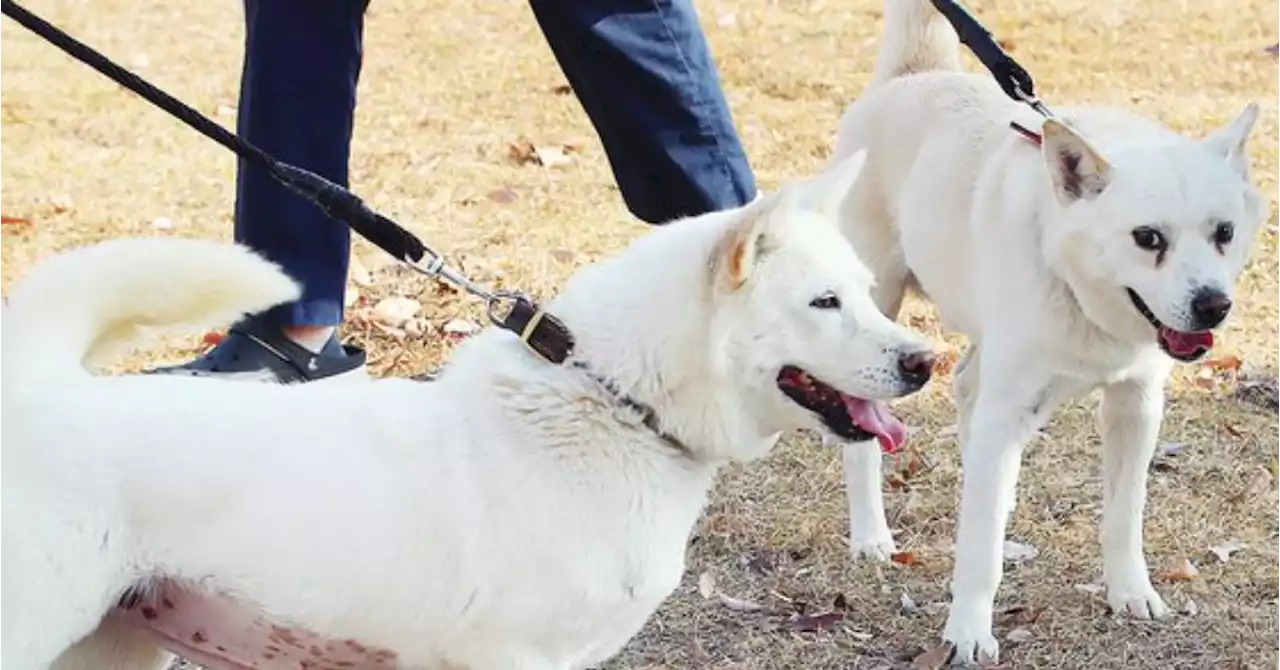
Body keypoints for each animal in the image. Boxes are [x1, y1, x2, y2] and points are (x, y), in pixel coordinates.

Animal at [829, 0, 1269, 661]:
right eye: (1148, 238)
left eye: (1224, 233)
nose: (1213, 305)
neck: (1076, 287)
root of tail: (913, 76)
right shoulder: (1013, 402)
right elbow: (979, 548)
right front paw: (967, 632)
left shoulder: (1136, 405)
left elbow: (1123, 515)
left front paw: (1130, 593)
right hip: (877, 309)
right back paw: (872, 537)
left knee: (967, 392)